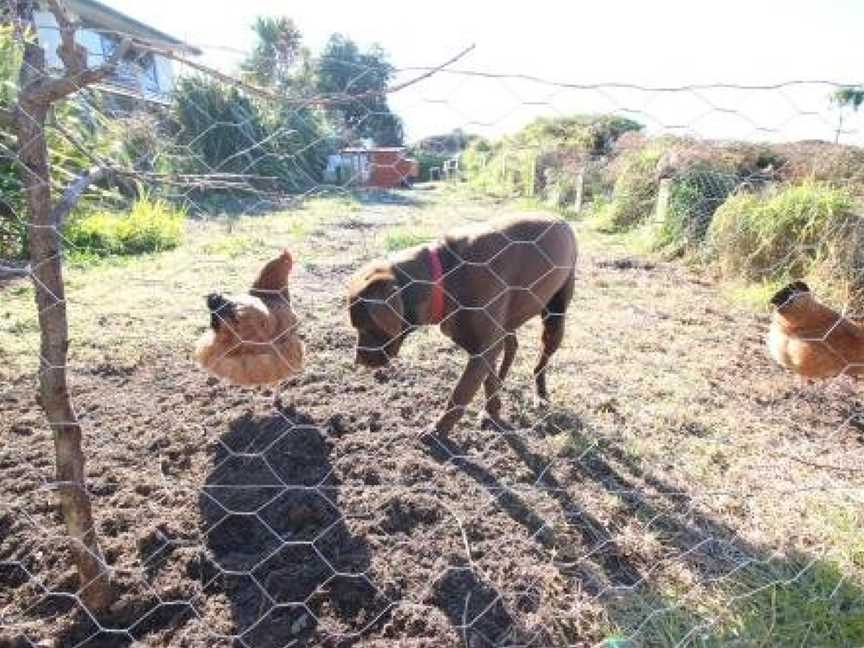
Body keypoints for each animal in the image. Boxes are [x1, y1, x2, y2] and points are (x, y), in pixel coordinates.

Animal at [348, 216, 576, 436]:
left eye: (367, 327)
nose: (357, 361)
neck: (445, 276)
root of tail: (561, 219)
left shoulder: (483, 349)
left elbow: (460, 393)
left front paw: (437, 430)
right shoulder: (483, 347)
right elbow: (488, 381)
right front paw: (491, 411)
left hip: (554, 320)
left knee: (540, 362)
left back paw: (541, 395)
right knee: (511, 346)